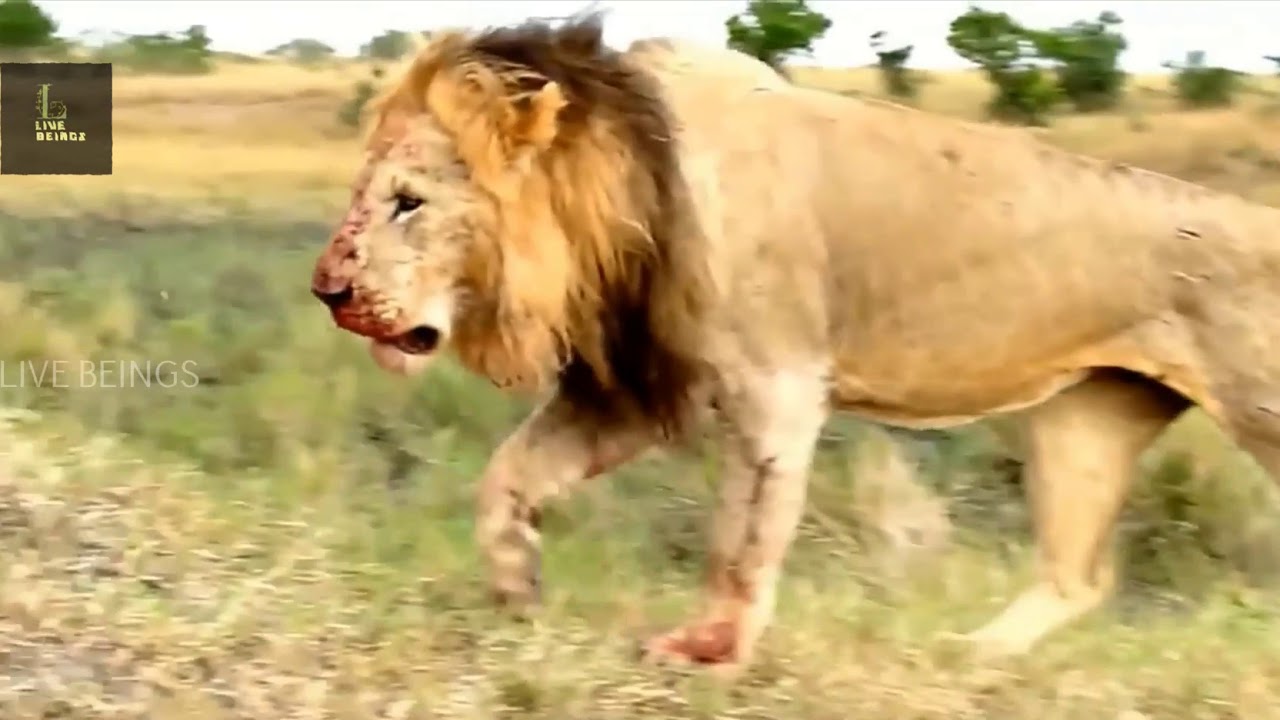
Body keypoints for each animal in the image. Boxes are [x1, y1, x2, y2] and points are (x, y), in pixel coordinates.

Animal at [309, 14, 1280, 672]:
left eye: (408, 202)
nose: (327, 292)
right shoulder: (630, 386)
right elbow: (507, 475)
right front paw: (517, 592)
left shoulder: (775, 383)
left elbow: (744, 534)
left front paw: (708, 647)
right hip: (1087, 422)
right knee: (1076, 580)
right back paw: (967, 655)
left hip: (1254, 415)